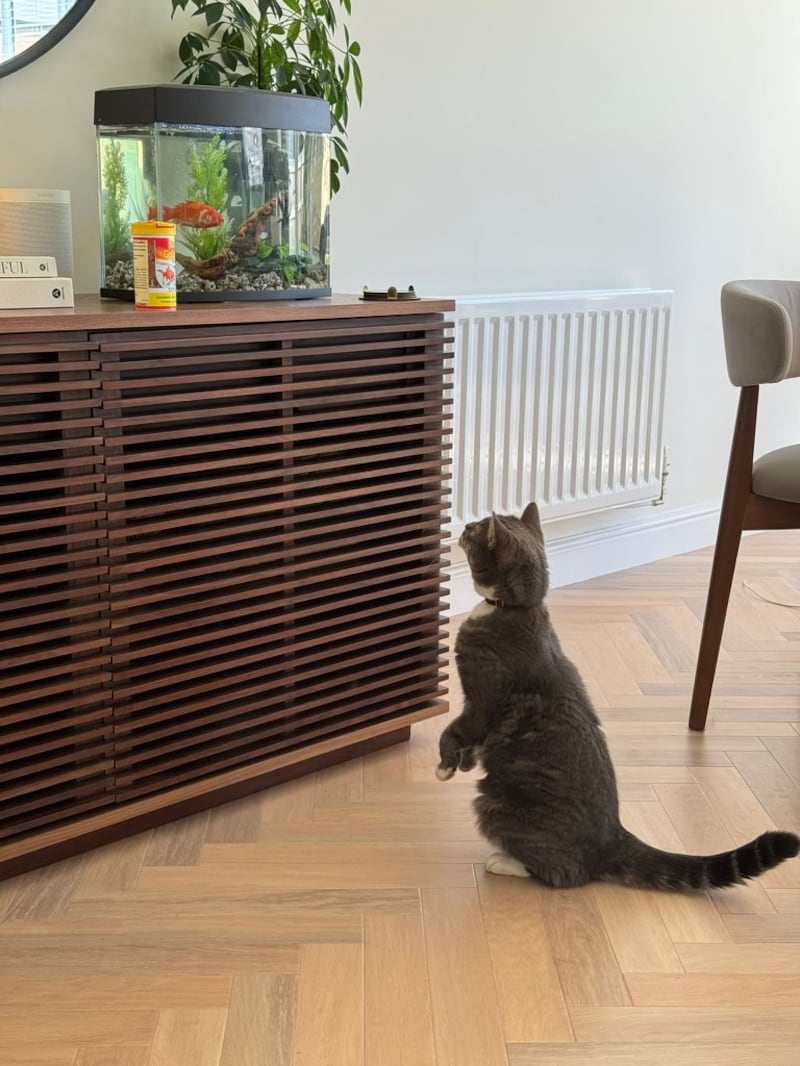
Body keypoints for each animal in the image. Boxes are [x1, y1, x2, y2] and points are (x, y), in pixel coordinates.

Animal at [439, 503, 800, 886]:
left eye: (476, 529)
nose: (466, 525)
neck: (514, 610)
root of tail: (613, 836)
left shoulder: (481, 702)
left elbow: (454, 731)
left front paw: (445, 767)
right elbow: (470, 741)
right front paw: (465, 761)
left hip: (494, 805)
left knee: (565, 874)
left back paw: (504, 862)